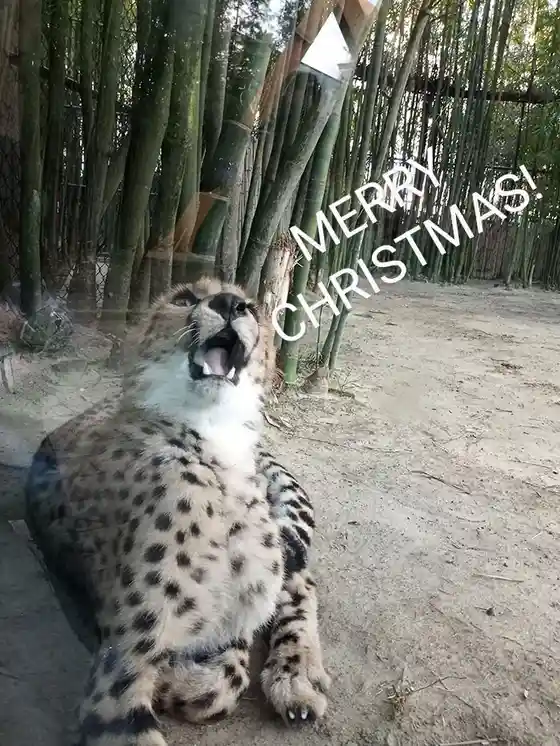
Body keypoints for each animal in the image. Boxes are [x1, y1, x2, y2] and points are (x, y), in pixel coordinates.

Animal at [24, 277, 331, 746]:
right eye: (184, 298)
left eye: (251, 307)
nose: (230, 304)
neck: (213, 441)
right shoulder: (118, 673)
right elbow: (216, 682)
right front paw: (183, 675)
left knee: (300, 582)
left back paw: (297, 677)